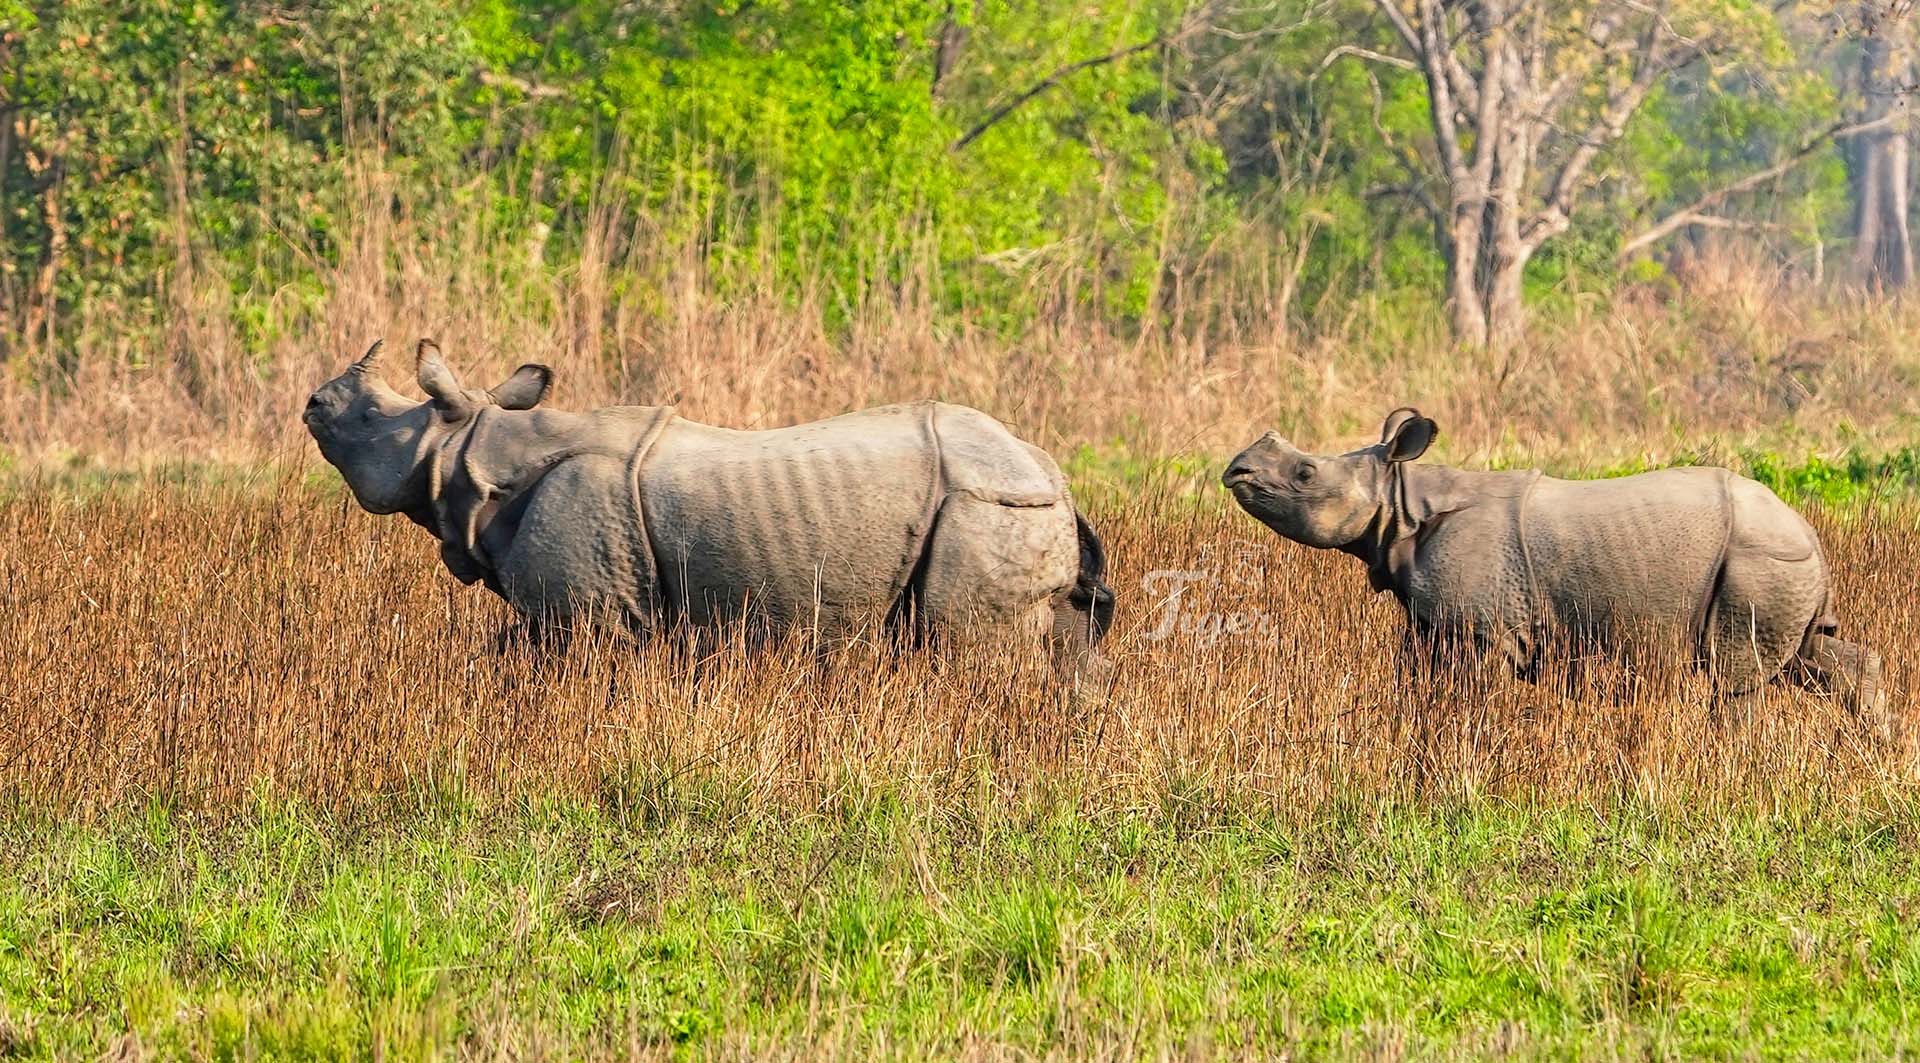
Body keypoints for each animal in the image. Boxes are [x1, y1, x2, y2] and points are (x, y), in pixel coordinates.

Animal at [303, 339, 1116, 679]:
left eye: (371, 417)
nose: (313, 402)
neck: (477, 449)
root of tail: (1053, 474)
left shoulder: (586, 614)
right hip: (1011, 503)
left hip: (988, 507)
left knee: (973, 654)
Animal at [1223, 408, 1884, 720]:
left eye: (1305, 473)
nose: (1236, 469)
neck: (1402, 500)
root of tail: (1808, 528)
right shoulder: (1436, 623)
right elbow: (1420, 683)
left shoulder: (1484, 630)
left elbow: (1470, 698)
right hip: (1781, 562)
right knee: (1813, 655)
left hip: (1759, 558)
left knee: (1736, 675)